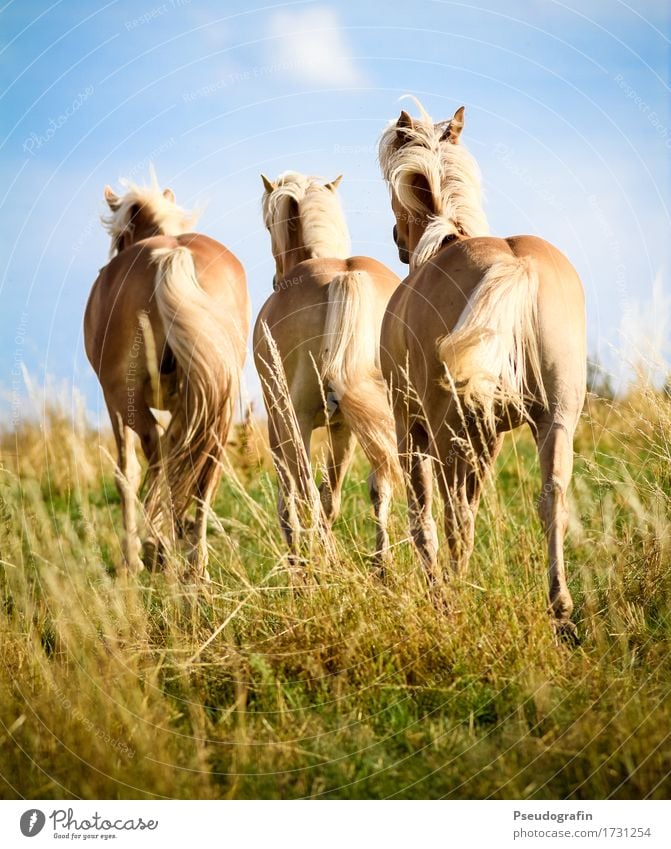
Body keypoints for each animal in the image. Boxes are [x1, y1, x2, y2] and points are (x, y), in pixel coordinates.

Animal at [84, 176, 251, 580]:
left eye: (120, 237)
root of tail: (174, 255)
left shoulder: (117, 402)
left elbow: (128, 472)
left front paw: (140, 552)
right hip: (218, 404)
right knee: (203, 473)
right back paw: (194, 566)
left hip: (124, 396)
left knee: (154, 460)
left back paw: (149, 553)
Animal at [252, 171, 400, 568]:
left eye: (268, 224)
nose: (274, 279)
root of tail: (344, 277)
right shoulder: (343, 428)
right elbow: (333, 496)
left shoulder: (279, 429)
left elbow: (291, 503)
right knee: (379, 485)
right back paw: (381, 564)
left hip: (295, 422)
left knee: (304, 494)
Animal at [380, 101, 584, 636]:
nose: (398, 240)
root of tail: (517, 266)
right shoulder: (489, 433)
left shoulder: (410, 427)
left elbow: (422, 516)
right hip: (554, 419)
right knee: (551, 500)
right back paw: (560, 610)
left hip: (448, 430)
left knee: (455, 517)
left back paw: (450, 599)